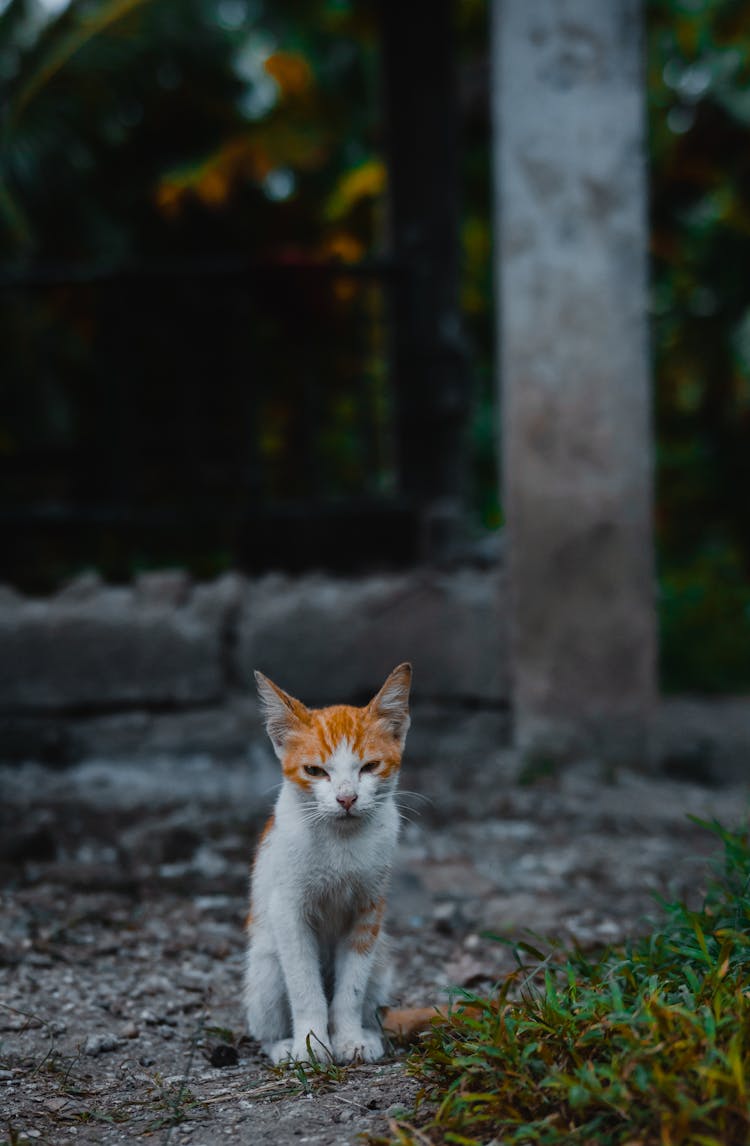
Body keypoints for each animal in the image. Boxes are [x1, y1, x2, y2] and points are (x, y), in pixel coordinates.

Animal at [245, 664, 410, 1063]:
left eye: (370, 767)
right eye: (315, 771)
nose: (346, 798)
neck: (341, 840)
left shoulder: (369, 909)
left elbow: (350, 988)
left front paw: (349, 1039)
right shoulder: (287, 910)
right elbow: (305, 987)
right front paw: (310, 1045)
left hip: (382, 961)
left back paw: (369, 1033)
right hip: (265, 965)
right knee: (263, 1026)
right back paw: (283, 1046)